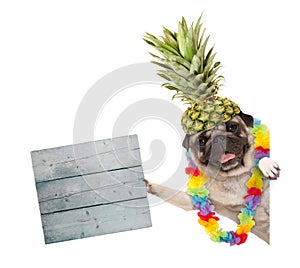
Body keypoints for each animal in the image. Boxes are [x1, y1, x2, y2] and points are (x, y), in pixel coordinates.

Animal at [144, 112, 280, 244]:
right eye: (202, 141)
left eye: (232, 127)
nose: (218, 138)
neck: (234, 176)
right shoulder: (193, 202)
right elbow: (170, 193)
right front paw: (149, 186)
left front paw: (266, 164)